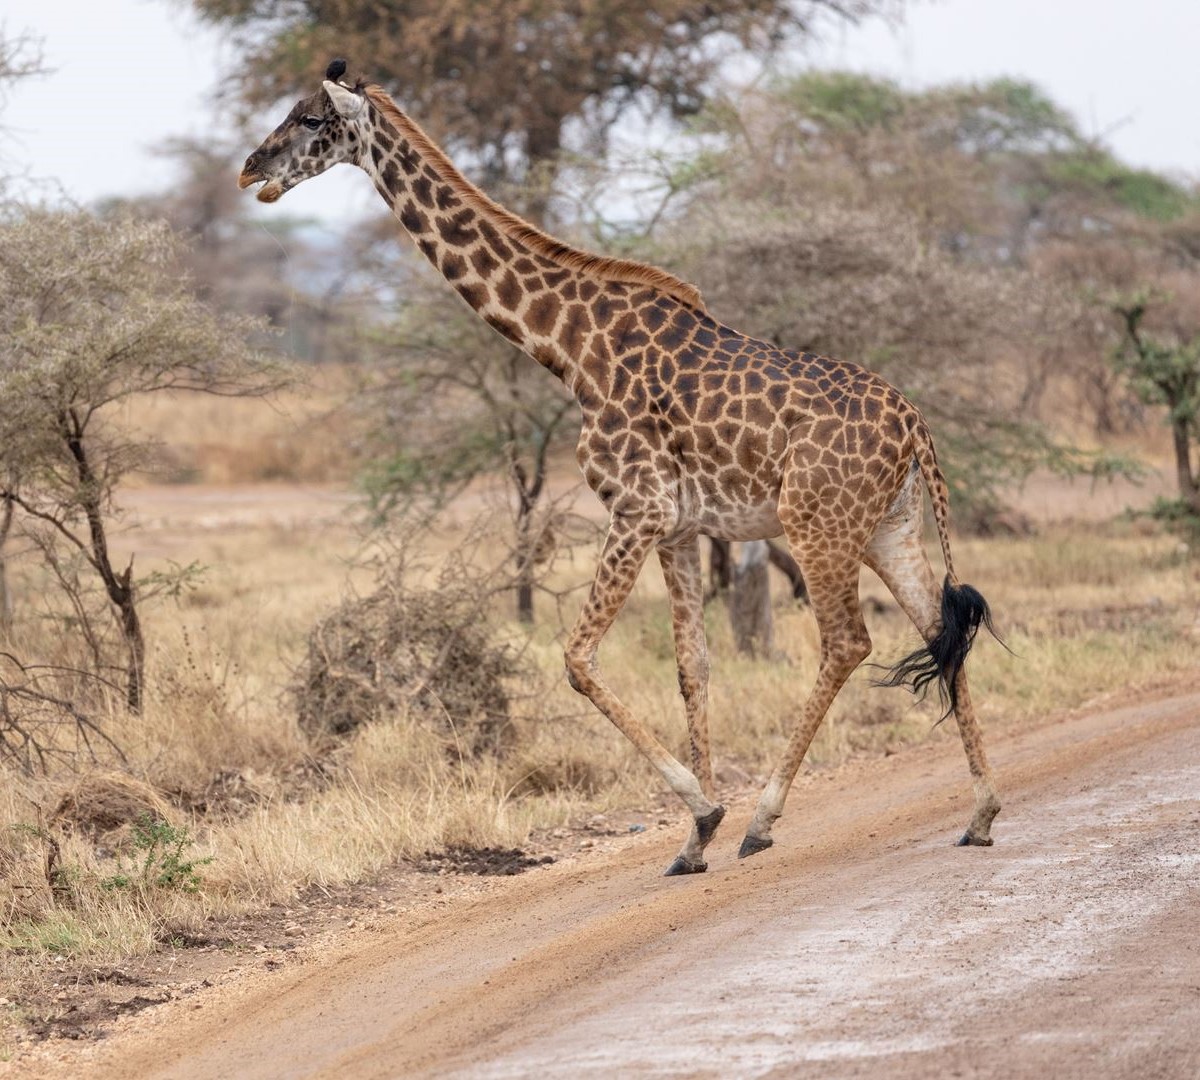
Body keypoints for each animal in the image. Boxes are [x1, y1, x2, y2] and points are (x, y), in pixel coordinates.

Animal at [238, 59, 998, 873]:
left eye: (312, 120)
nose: (251, 169)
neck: (569, 346)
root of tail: (914, 425)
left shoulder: (637, 509)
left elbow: (577, 659)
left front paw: (707, 812)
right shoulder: (679, 526)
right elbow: (692, 664)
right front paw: (695, 839)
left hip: (817, 524)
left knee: (850, 641)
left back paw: (766, 819)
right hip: (890, 526)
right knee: (939, 629)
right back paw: (982, 811)